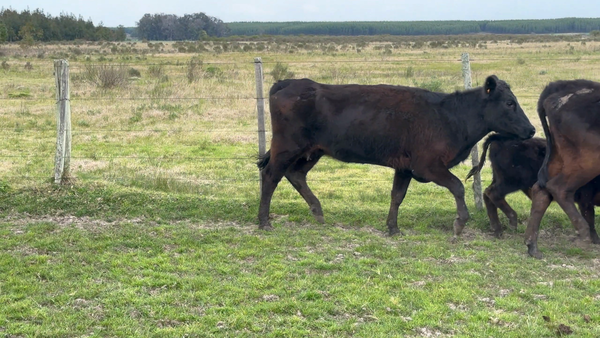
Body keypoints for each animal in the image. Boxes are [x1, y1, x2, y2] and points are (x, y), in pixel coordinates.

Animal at [258, 75, 536, 236]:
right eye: (510, 103)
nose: (532, 129)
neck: (450, 116)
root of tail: (289, 83)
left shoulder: (405, 168)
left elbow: (397, 196)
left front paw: (392, 227)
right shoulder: (427, 166)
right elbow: (457, 186)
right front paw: (460, 222)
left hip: (312, 151)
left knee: (295, 175)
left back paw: (317, 211)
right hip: (287, 146)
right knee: (271, 175)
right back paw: (263, 221)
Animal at [468, 133, 600, 242]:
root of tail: (499, 137)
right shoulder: (585, 200)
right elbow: (590, 219)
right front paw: (595, 240)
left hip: (500, 179)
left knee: (487, 194)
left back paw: (497, 229)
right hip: (511, 183)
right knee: (492, 193)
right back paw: (512, 222)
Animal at [524, 79, 600, 258]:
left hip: (558, 159)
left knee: (541, 191)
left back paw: (532, 246)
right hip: (589, 160)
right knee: (559, 188)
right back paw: (584, 236)